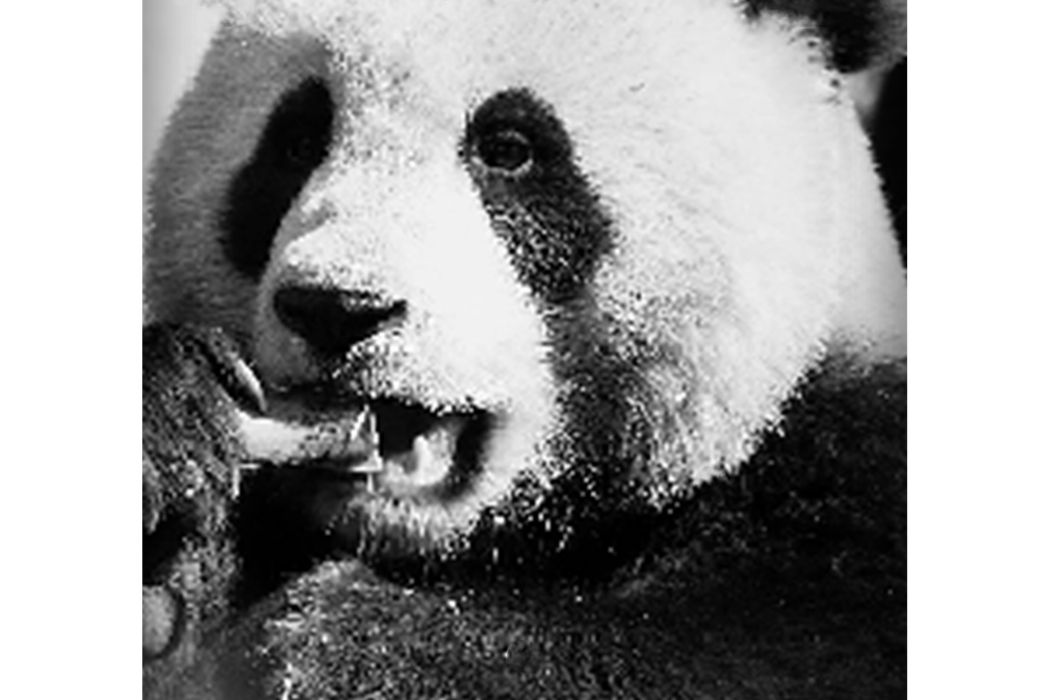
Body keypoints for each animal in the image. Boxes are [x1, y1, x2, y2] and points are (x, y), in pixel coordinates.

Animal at [143, 0, 906, 697]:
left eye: (508, 148)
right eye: (297, 143)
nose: (336, 309)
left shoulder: (848, 465)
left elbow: (764, 647)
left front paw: (346, 645)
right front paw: (174, 428)